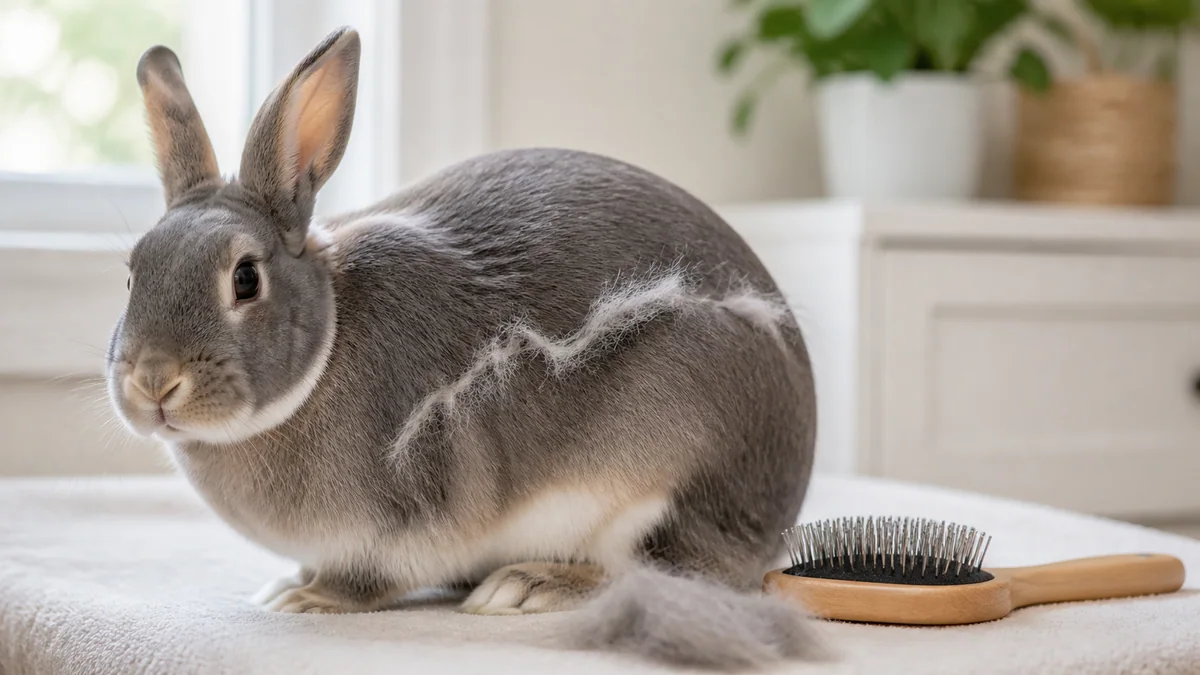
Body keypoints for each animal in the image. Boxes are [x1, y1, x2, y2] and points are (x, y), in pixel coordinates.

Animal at [106, 26, 821, 671]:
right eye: (132, 273)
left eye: (246, 278)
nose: (154, 382)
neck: (327, 345)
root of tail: (782, 507)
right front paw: (287, 584)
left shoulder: (401, 518)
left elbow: (368, 580)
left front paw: (307, 600)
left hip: (673, 450)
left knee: (668, 570)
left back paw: (527, 586)